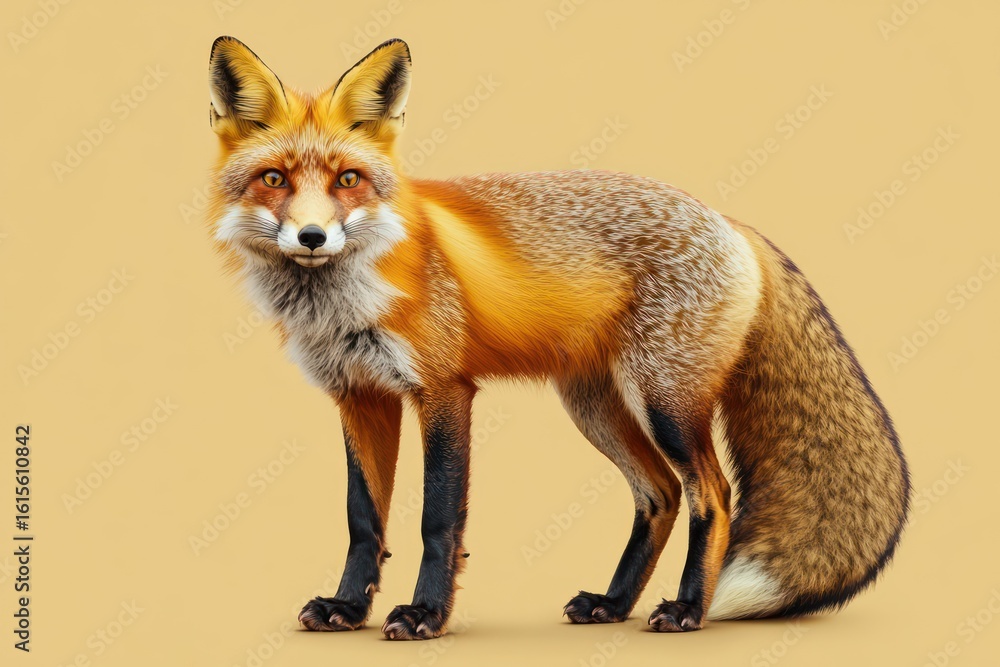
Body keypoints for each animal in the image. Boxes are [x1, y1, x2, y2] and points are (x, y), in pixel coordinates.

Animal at [205, 36, 910, 639]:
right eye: (274, 179)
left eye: (347, 179)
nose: (312, 237)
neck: (347, 298)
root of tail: (730, 222)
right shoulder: (360, 396)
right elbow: (363, 517)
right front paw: (348, 609)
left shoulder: (443, 390)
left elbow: (438, 518)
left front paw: (426, 614)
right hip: (595, 407)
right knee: (660, 493)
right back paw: (614, 603)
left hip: (665, 402)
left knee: (712, 494)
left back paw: (687, 609)